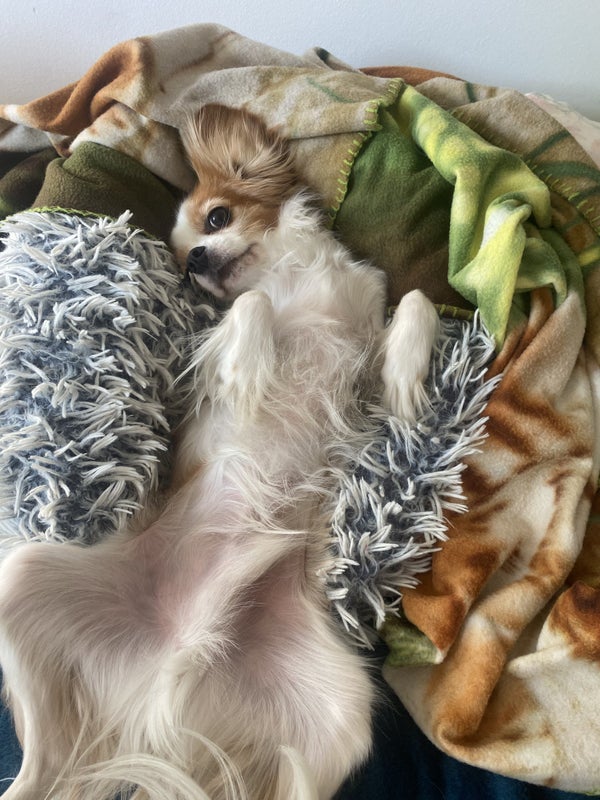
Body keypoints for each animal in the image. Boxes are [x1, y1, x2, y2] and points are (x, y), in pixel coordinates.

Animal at [0, 104, 439, 799]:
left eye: (218, 218)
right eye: (183, 267)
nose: (200, 259)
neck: (296, 280)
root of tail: (167, 669)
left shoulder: (363, 355)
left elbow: (416, 302)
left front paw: (406, 378)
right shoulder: (209, 353)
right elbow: (252, 308)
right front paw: (254, 369)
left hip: (339, 717)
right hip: (20, 579)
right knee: (43, 770)